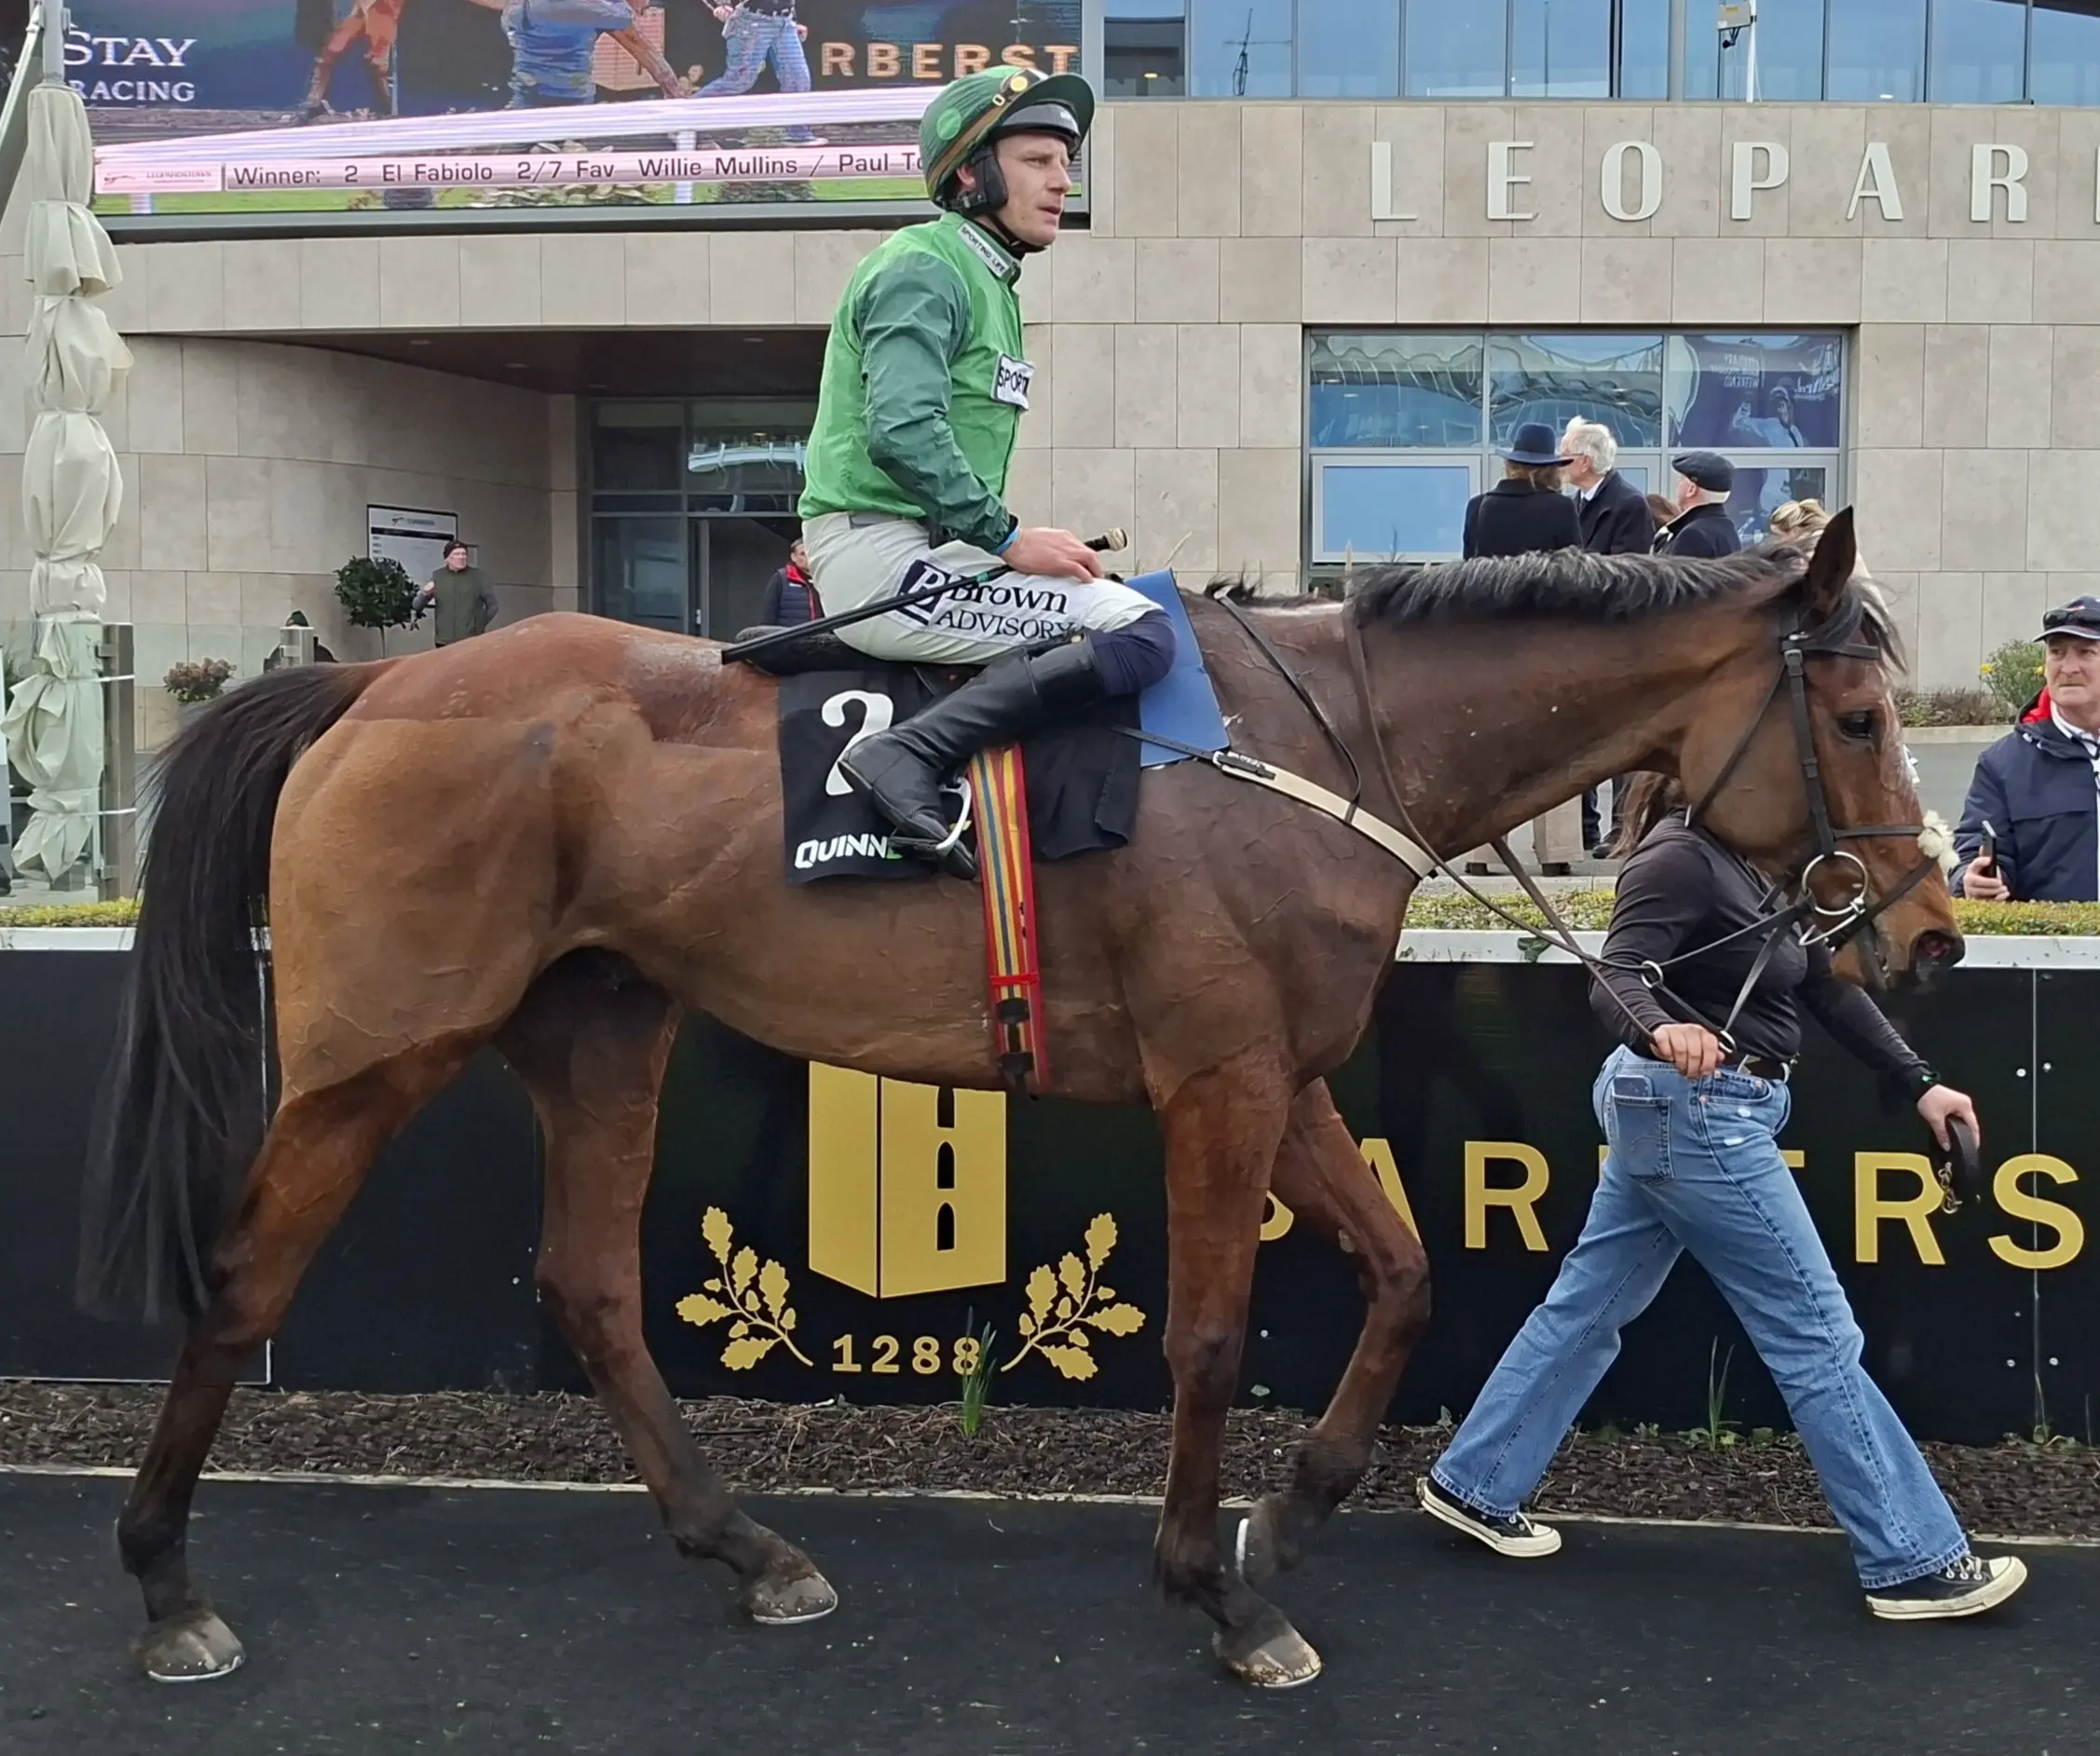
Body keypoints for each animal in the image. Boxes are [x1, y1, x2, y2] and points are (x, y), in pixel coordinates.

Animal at [79, 509, 1959, 1689]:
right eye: (1861, 711)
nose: (1928, 930)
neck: (1323, 746)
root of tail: (373, 681)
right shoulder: (1215, 1081)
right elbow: (1206, 1331)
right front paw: (1215, 1596)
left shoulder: (1276, 1073)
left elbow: (1406, 1273)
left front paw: (1289, 1515)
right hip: (372, 1051)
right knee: (244, 1278)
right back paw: (166, 1586)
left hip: (601, 1030)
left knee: (594, 1287)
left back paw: (749, 1549)